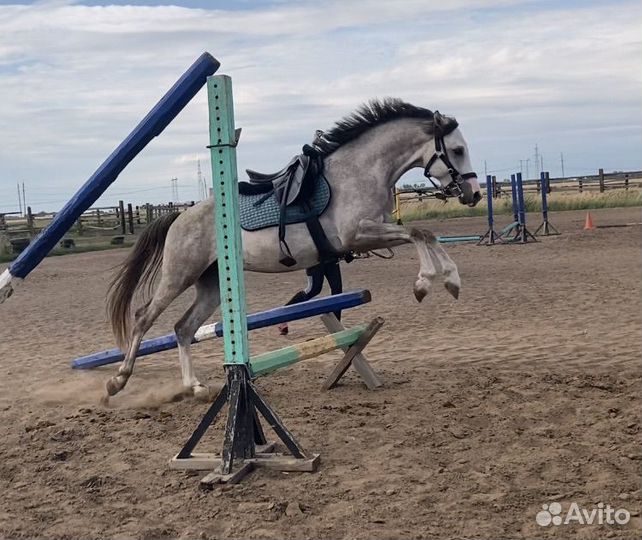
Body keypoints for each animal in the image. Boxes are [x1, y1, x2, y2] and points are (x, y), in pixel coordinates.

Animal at [105, 98, 481, 398]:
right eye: (458, 151)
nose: (474, 194)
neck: (361, 171)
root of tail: (179, 216)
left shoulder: (370, 235)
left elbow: (425, 234)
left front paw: (451, 281)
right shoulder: (358, 235)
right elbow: (419, 232)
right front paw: (426, 282)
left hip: (211, 284)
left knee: (183, 328)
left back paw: (194, 387)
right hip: (179, 274)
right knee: (143, 318)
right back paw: (118, 381)